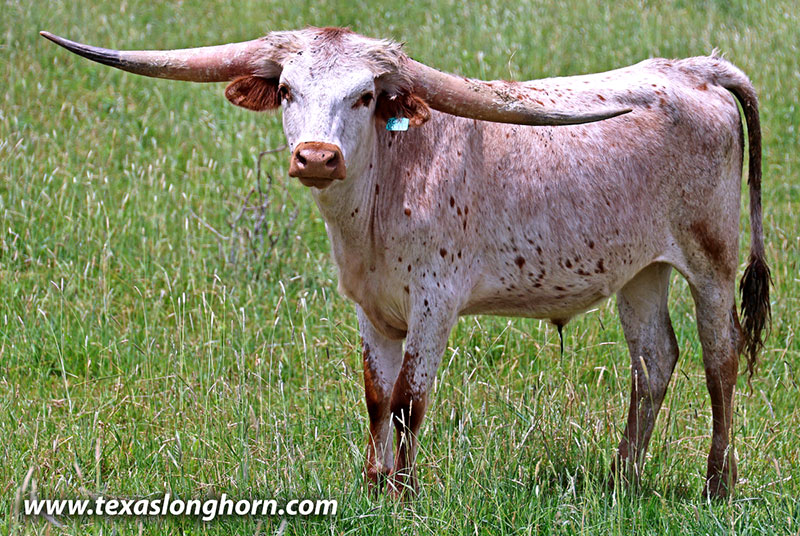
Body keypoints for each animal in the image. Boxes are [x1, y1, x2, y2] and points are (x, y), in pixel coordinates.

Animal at [41, 27, 770, 499]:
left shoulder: (435, 302)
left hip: (710, 258)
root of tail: (694, 70)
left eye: (365, 97)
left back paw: (719, 480)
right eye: (287, 92)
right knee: (654, 362)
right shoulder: (370, 306)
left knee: (720, 356)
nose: (316, 156)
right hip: (639, 269)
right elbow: (374, 395)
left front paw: (407, 491)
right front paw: (373, 484)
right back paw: (622, 479)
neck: (382, 193)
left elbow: (408, 401)